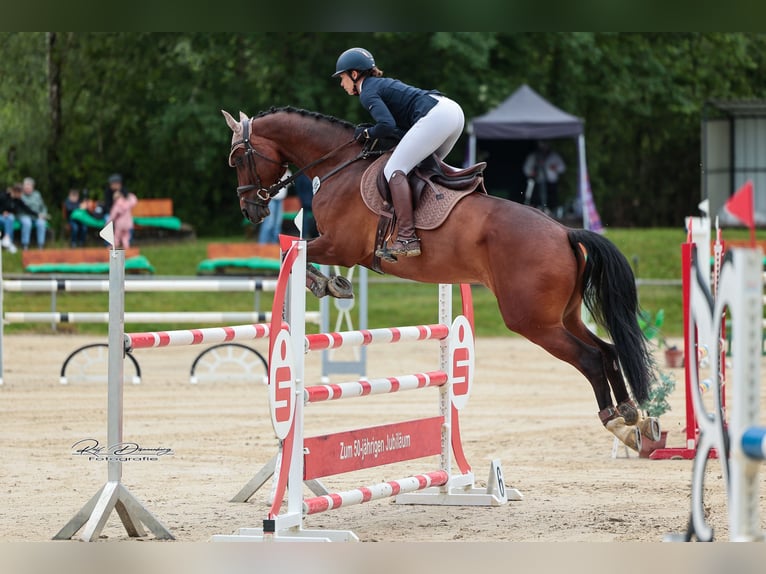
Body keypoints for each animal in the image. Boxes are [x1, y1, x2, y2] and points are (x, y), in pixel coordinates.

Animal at [222, 106, 660, 451]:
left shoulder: (340, 246)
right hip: (562, 316)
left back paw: (616, 421)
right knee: (607, 350)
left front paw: (325, 284)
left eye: (237, 157)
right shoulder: (338, 247)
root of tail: (565, 232)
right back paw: (632, 415)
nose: (249, 209)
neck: (338, 164)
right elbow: (295, 251)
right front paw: (332, 284)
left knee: (590, 358)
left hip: (533, 321)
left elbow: (292, 251)